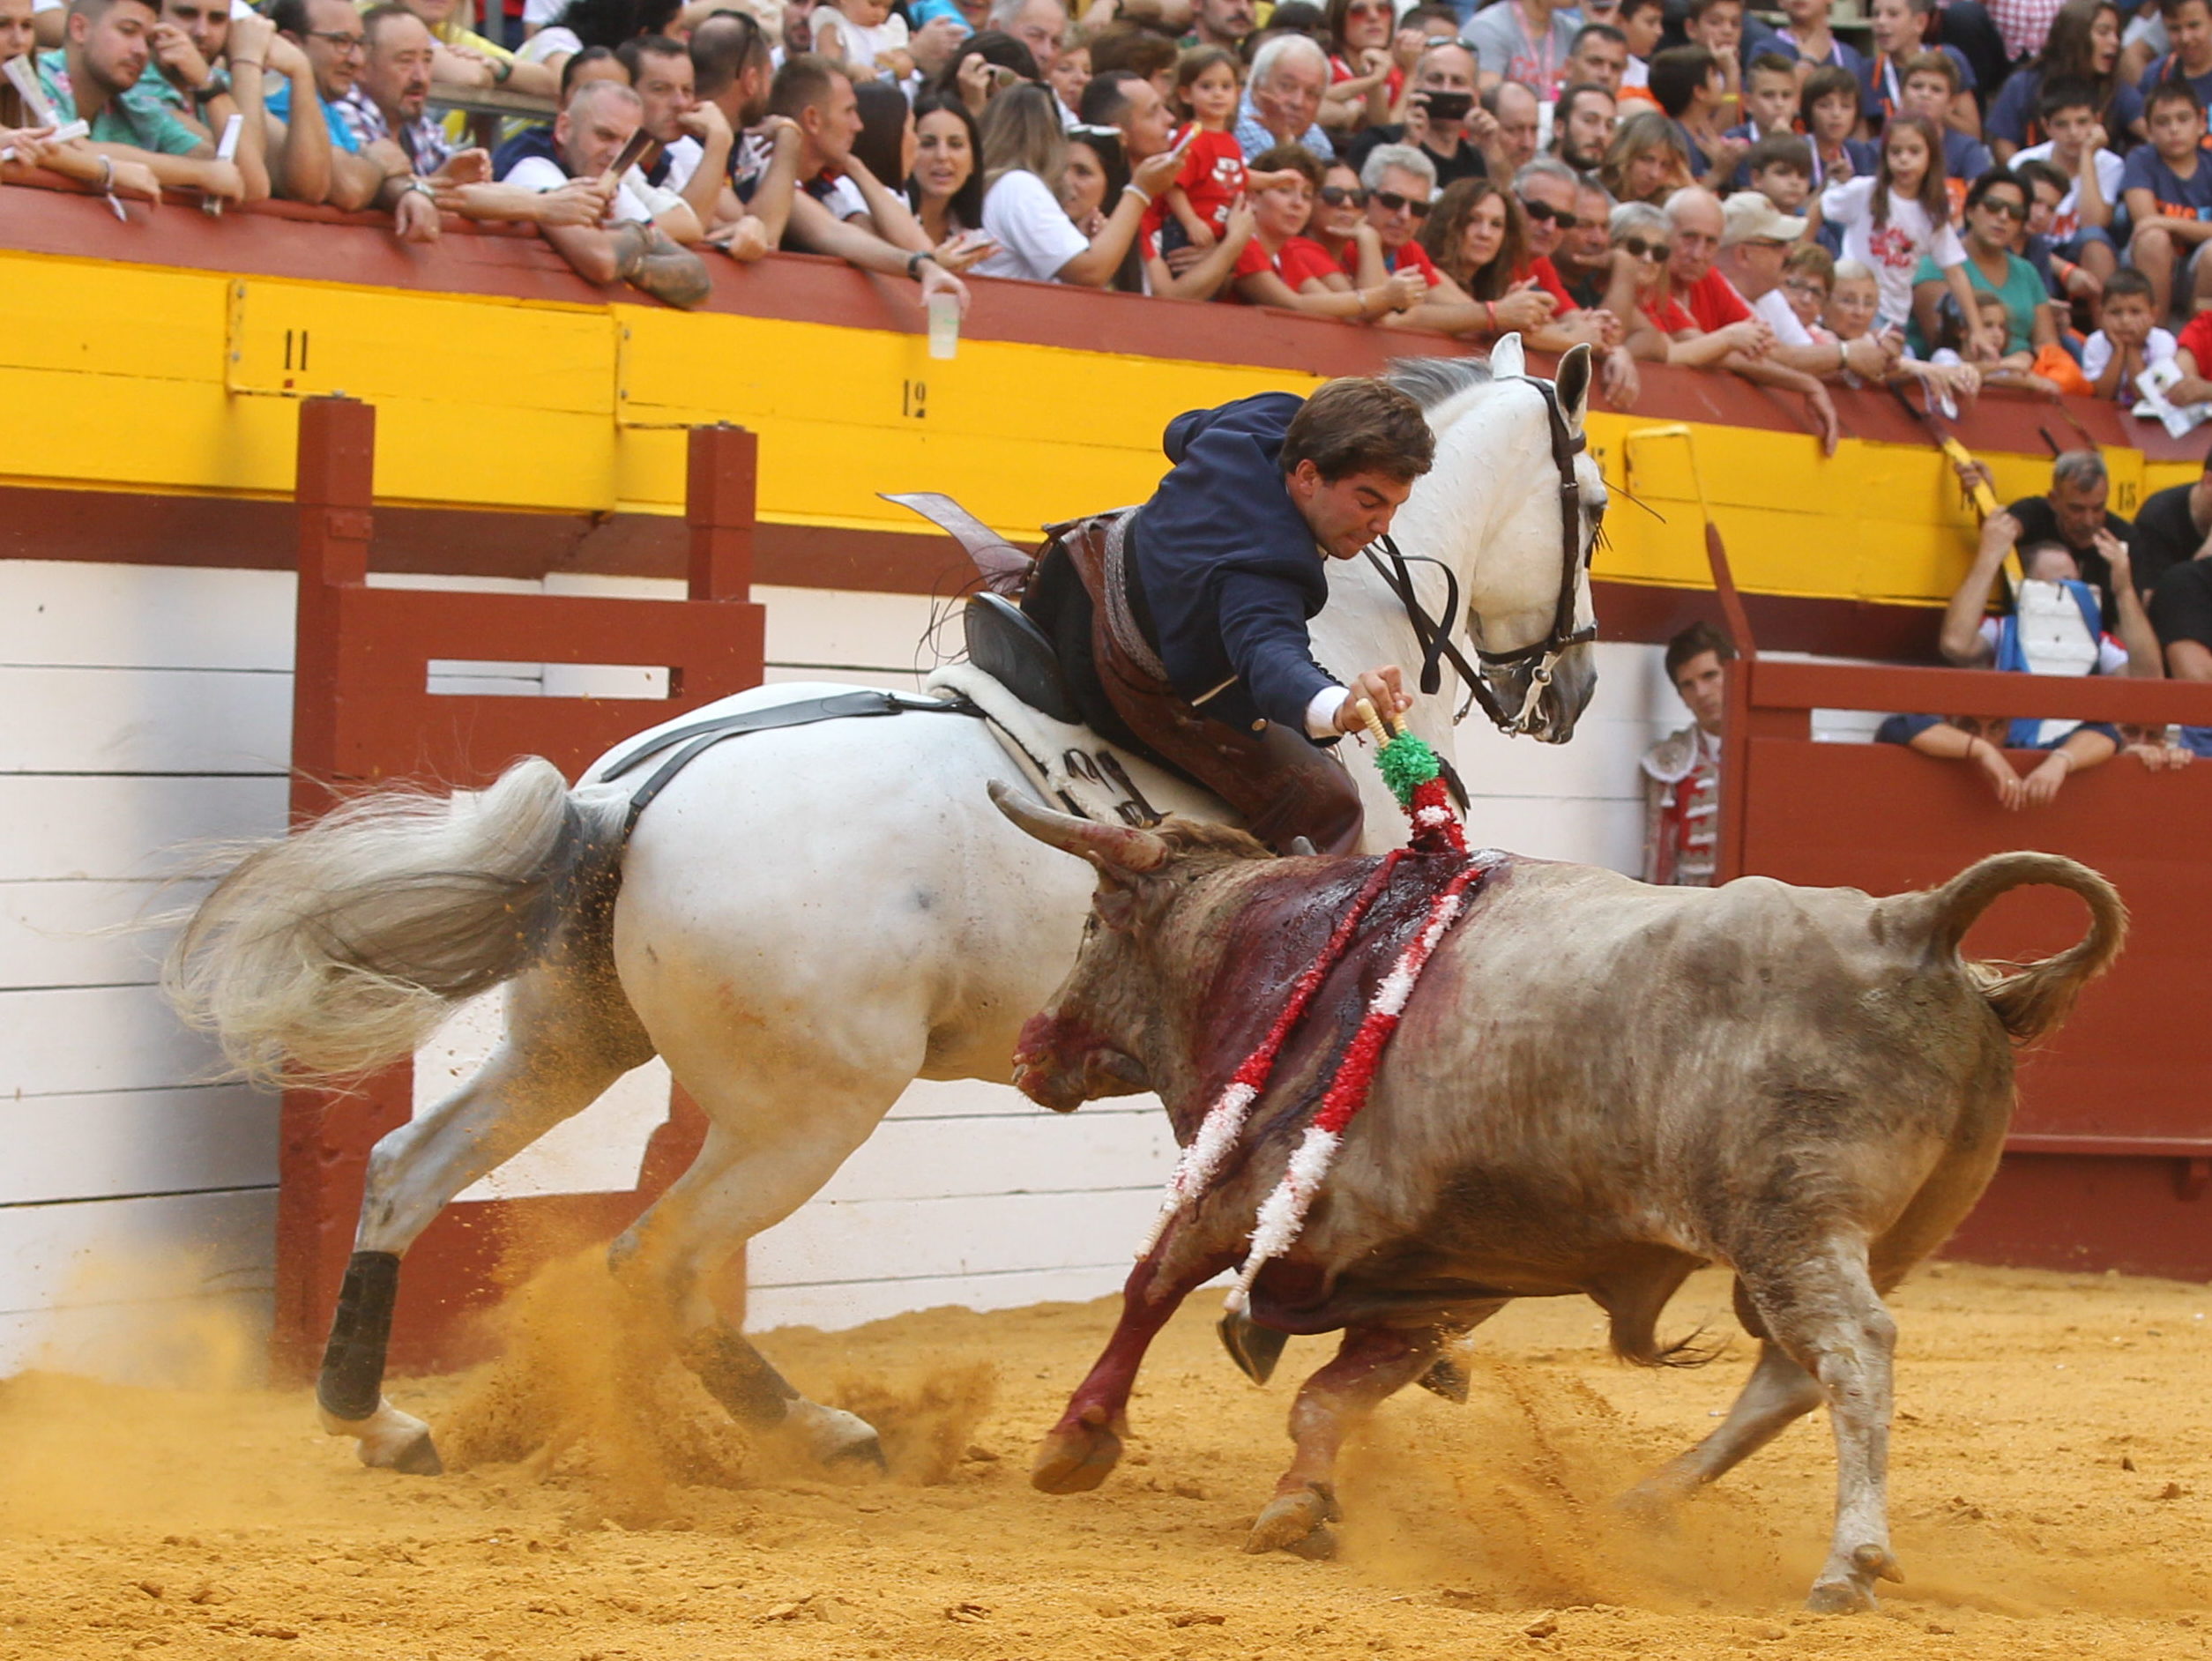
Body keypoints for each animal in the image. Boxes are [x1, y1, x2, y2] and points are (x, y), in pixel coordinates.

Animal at [160, 345, 1610, 1477]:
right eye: (1594, 502)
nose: (1577, 689)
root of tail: (625, 796)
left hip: (573, 1040)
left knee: (412, 1171)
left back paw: (379, 1418)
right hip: (805, 1110)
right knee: (657, 1260)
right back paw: (814, 1434)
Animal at [991, 787, 2123, 1619]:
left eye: (1091, 923)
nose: (1029, 1048)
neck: (1292, 950)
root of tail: (1915, 922)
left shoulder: (1247, 1194)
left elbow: (1152, 1283)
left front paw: (1076, 1441)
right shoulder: (1442, 1269)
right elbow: (1335, 1389)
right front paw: (1297, 1504)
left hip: (1789, 1224)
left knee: (1850, 1351)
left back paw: (1848, 1561)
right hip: (1861, 1240)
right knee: (1786, 1376)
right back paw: (1647, 1501)